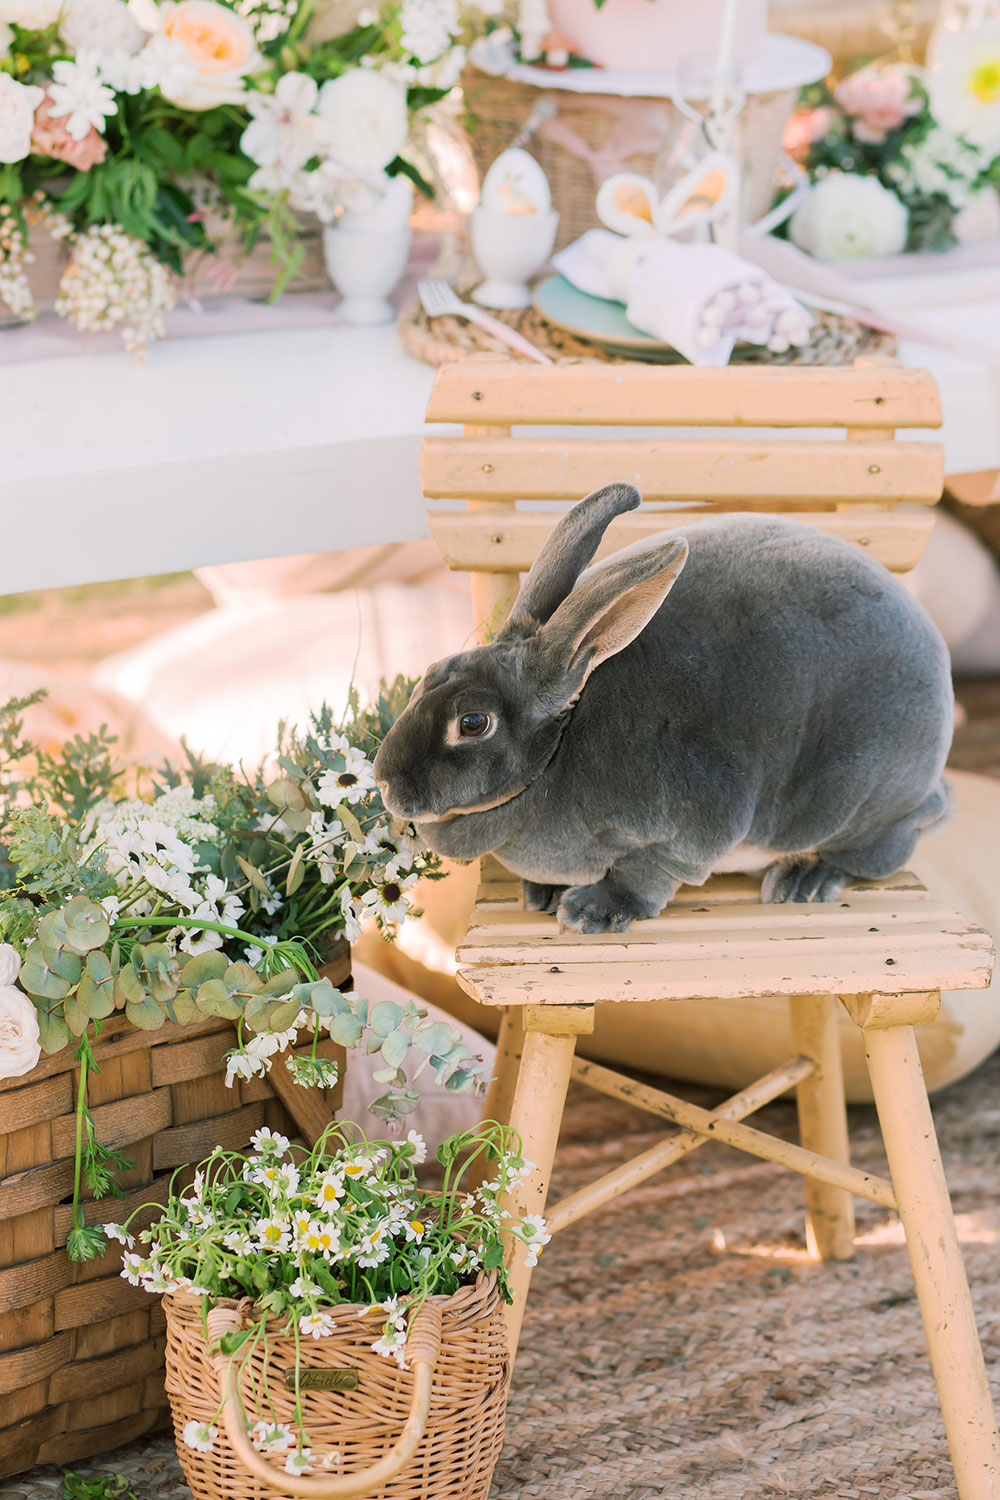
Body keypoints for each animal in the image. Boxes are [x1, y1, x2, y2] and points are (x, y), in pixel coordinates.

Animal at [374, 483, 953, 924]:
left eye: (473, 722)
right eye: (428, 676)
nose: (384, 782)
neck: (559, 747)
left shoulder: (695, 825)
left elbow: (654, 871)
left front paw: (593, 911)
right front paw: (546, 893)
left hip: (862, 800)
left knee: (898, 834)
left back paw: (805, 878)